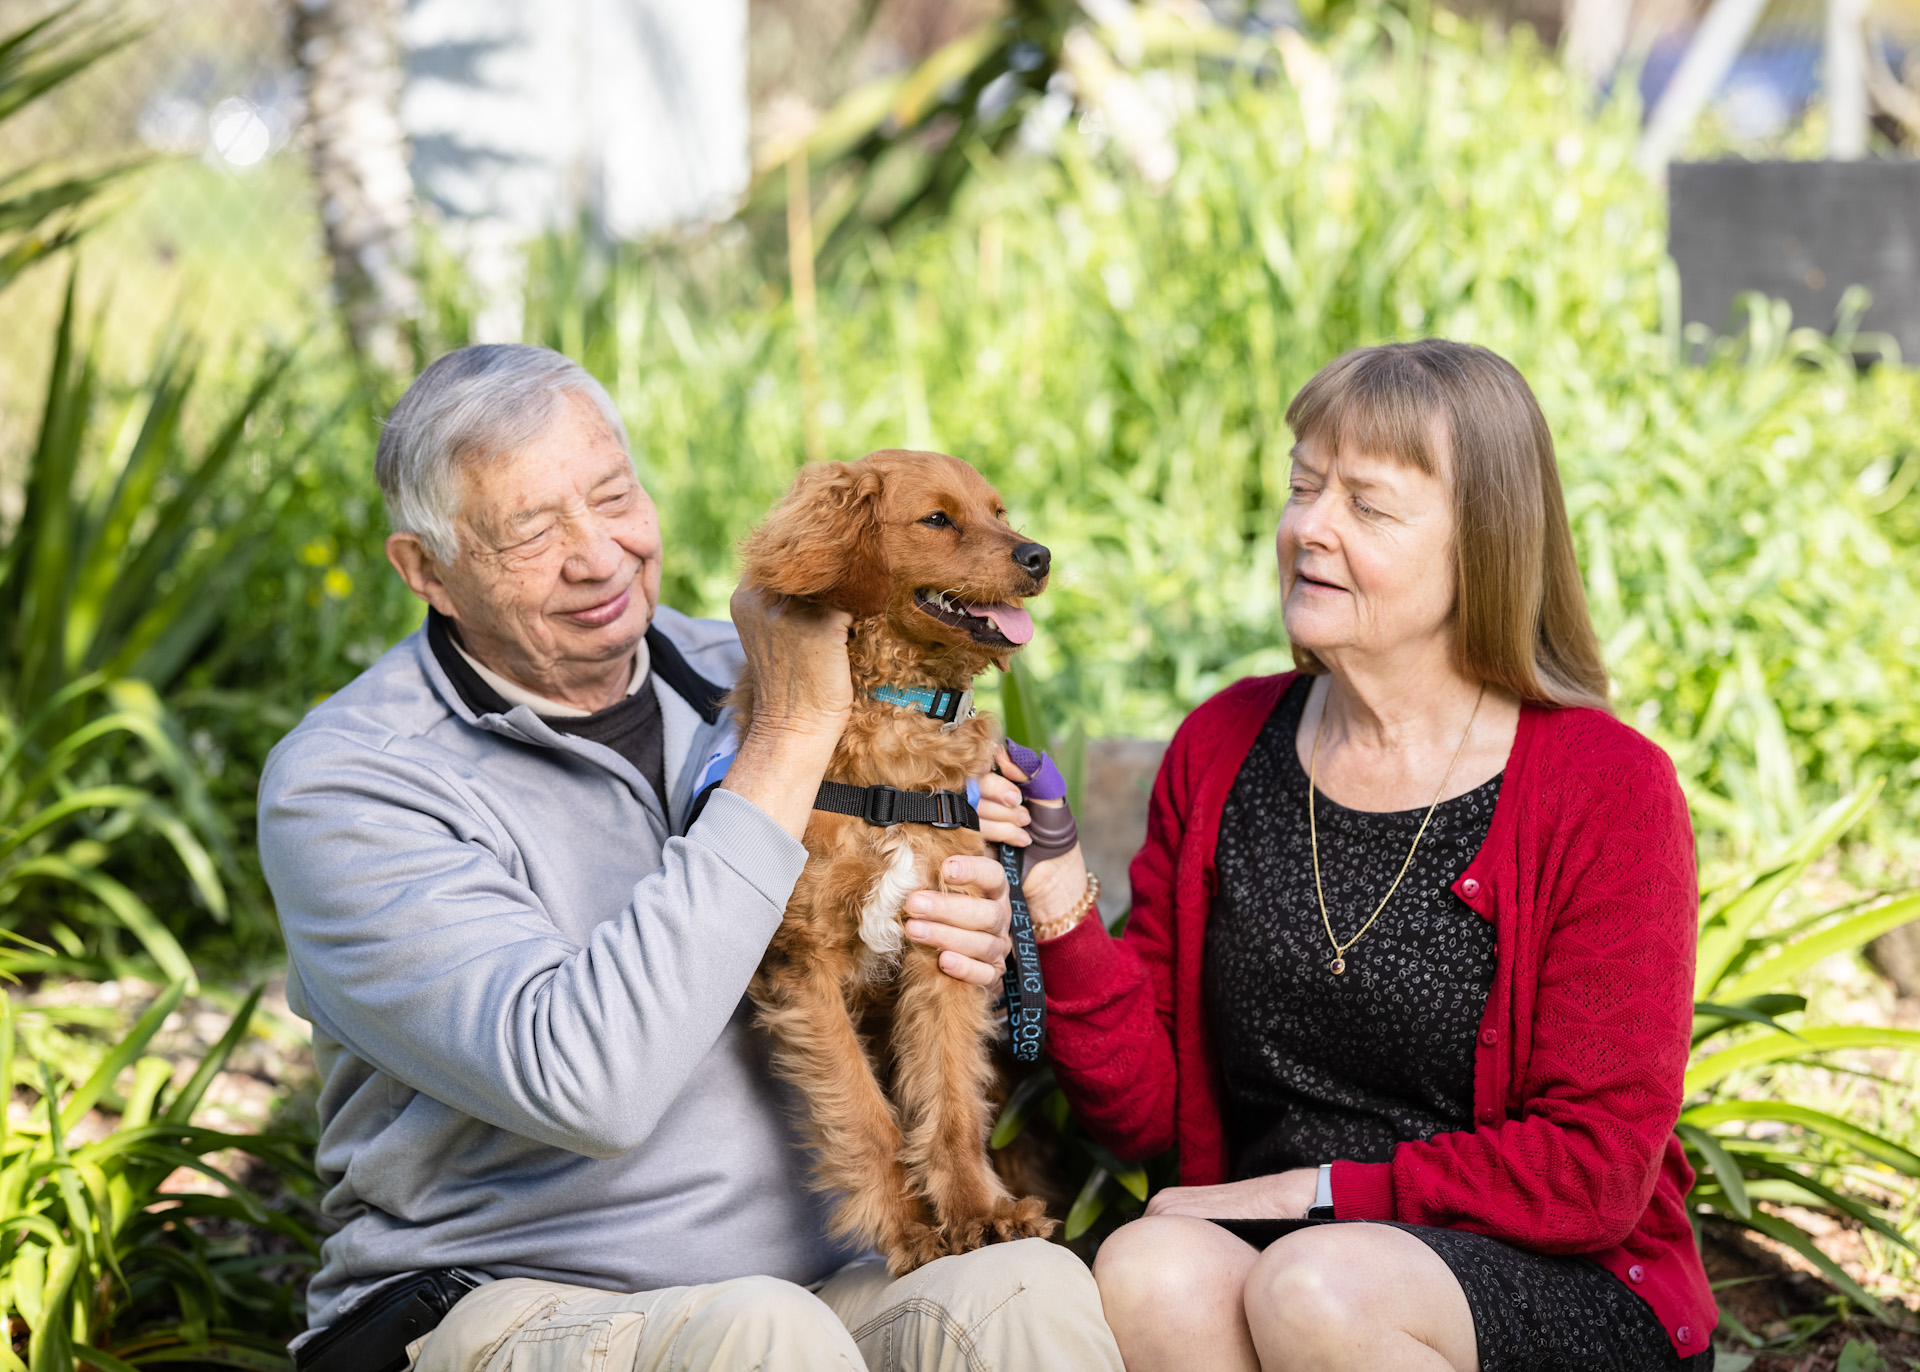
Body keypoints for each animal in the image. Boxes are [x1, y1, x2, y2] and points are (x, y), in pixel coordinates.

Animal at [733, 450, 1067, 1274]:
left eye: (999, 513)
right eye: (937, 519)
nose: (1039, 556)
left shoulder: (943, 946)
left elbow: (948, 1100)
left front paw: (979, 1214)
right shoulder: (805, 964)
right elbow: (864, 1116)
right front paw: (914, 1231)